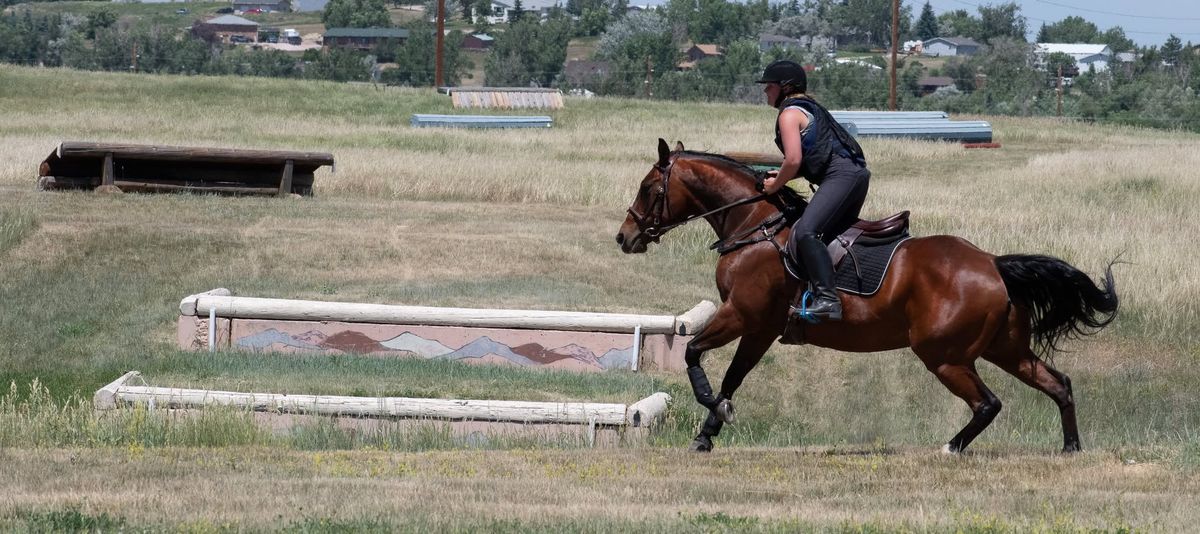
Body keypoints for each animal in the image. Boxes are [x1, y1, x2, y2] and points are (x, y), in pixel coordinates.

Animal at [614, 139, 1118, 451]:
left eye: (648, 188)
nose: (624, 237)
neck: (755, 226)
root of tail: (993, 265)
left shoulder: (740, 314)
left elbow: (694, 354)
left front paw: (713, 411)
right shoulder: (760, 328)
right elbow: (733, 377)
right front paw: (709, 431)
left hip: (943, 355)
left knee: (988, 403)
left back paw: (951, 447)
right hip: (1005, 347)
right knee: (1057, 383)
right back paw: (1070, 448)